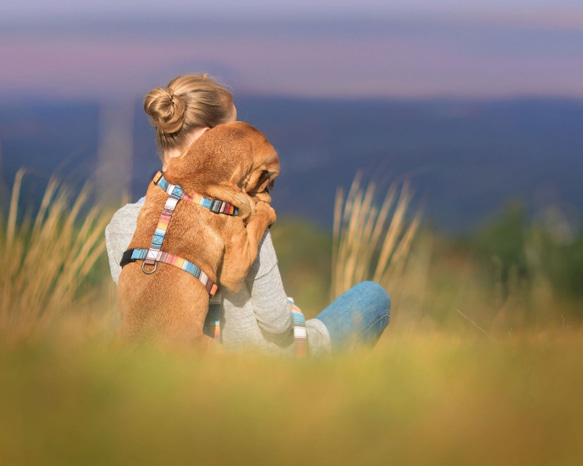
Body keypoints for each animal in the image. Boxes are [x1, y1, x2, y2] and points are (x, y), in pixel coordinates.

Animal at [117, 122, 280, 348]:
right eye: (266, 181)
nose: (269, 194)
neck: (199, 173)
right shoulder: (235, 269)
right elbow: (257, 224)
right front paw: (266, 210)